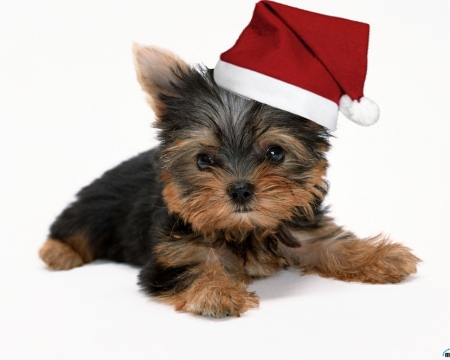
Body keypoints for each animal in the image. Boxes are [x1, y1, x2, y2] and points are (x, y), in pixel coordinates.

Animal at [39, 45, 422, 318]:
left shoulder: (300, 228)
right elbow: (193, 268)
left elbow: (330, 243)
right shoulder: (172, 253)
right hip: (98, 205)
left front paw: (380, 256)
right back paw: (57, 251)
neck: (244, 230)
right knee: (76, 225)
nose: (240, 189)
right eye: (204, 160)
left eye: (275, 153)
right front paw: (217, 291)